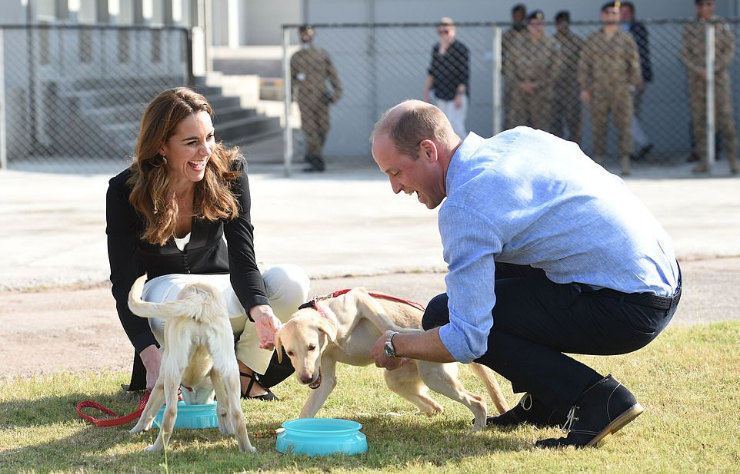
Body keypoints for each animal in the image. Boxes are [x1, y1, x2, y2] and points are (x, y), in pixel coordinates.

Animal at [127, 276, 254, 454]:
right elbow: (223, 407)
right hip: (230, 367)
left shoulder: (161, 380)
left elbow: (148, 409)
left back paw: (155, 448)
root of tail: (199, 299)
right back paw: (247, 448)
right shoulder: (216, 372)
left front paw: (136, 429)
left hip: (172, 370)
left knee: (170, 414)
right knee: (237, 413)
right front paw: (227, 429)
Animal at [274, 286, 508, 432]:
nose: (306, 378)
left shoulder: (359, 297)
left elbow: (385, 322)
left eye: (311, 347)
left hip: (436, 378)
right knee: (435, 407)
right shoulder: (325, 378)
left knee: (477, 400)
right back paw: (405, 414)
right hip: (397, 380)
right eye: (290, 352)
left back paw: (477, 427)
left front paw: (399, 333)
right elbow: (308, 410)